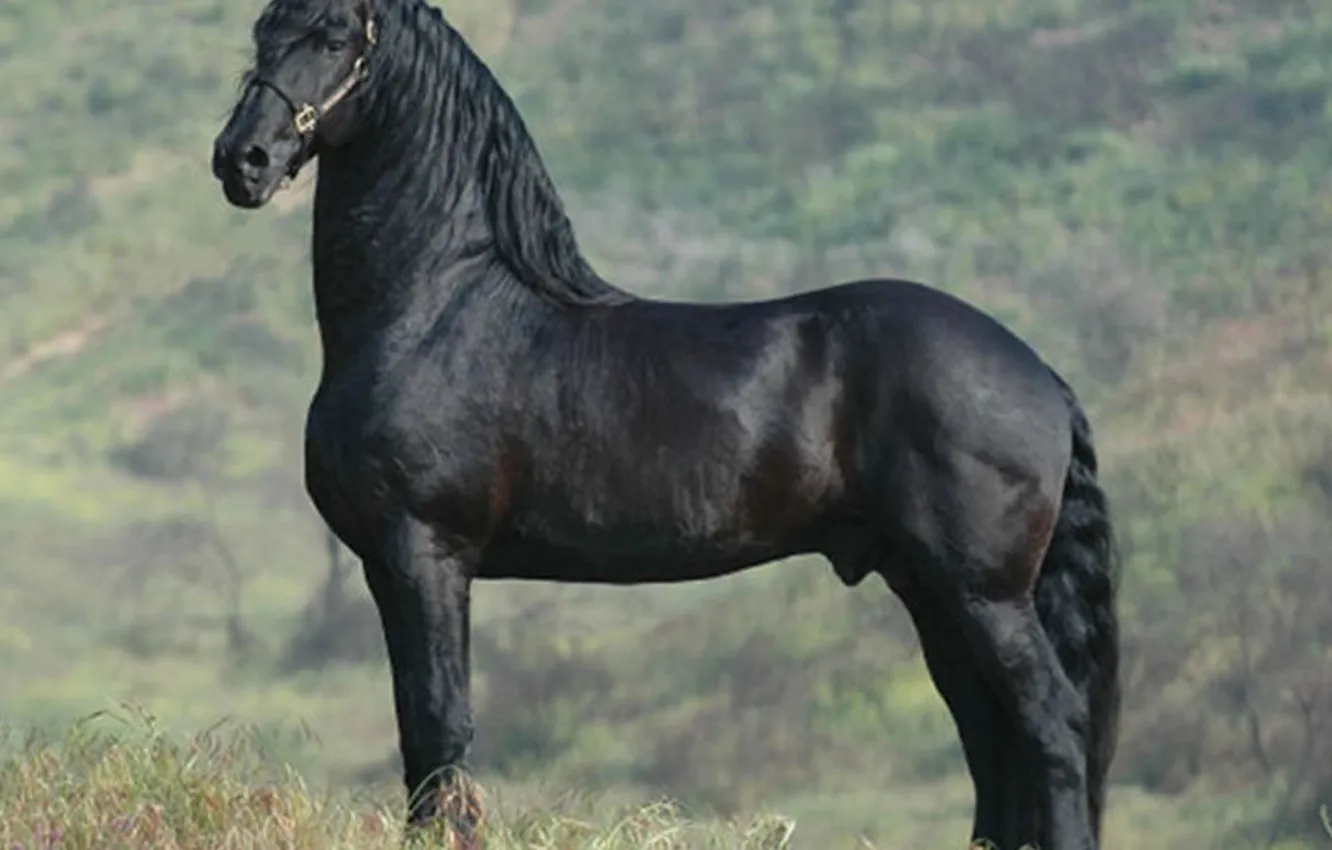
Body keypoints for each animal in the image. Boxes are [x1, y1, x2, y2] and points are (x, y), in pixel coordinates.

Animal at [209, 1, 1122, 847]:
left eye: (333, 37)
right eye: (262, 32)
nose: (240, 160)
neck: (438, 306)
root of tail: (1040, 377)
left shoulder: (425, 553)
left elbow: (440, 728)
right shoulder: (388, 567)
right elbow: (418, 735)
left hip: (984, 595)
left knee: (1051, 730)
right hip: (930, 591)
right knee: (991, 744)